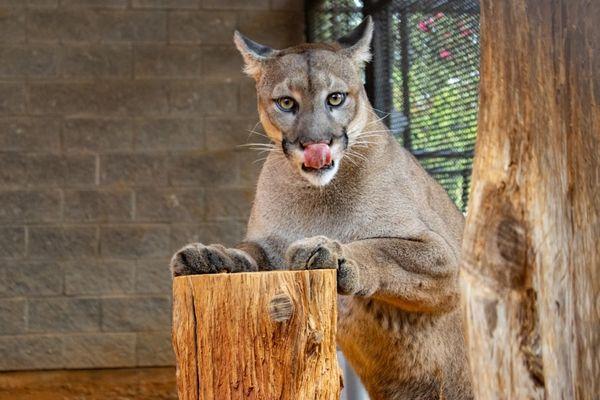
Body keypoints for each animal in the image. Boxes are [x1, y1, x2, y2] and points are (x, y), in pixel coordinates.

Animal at [172, 16, 474, 400]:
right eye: (286, 102)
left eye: (335, 98)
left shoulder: (445, 259)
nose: (315, 143)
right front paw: (211, 256)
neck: (320, 198)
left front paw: (335, 253)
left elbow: (382, 247)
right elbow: (247, 252)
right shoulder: (268, 246)